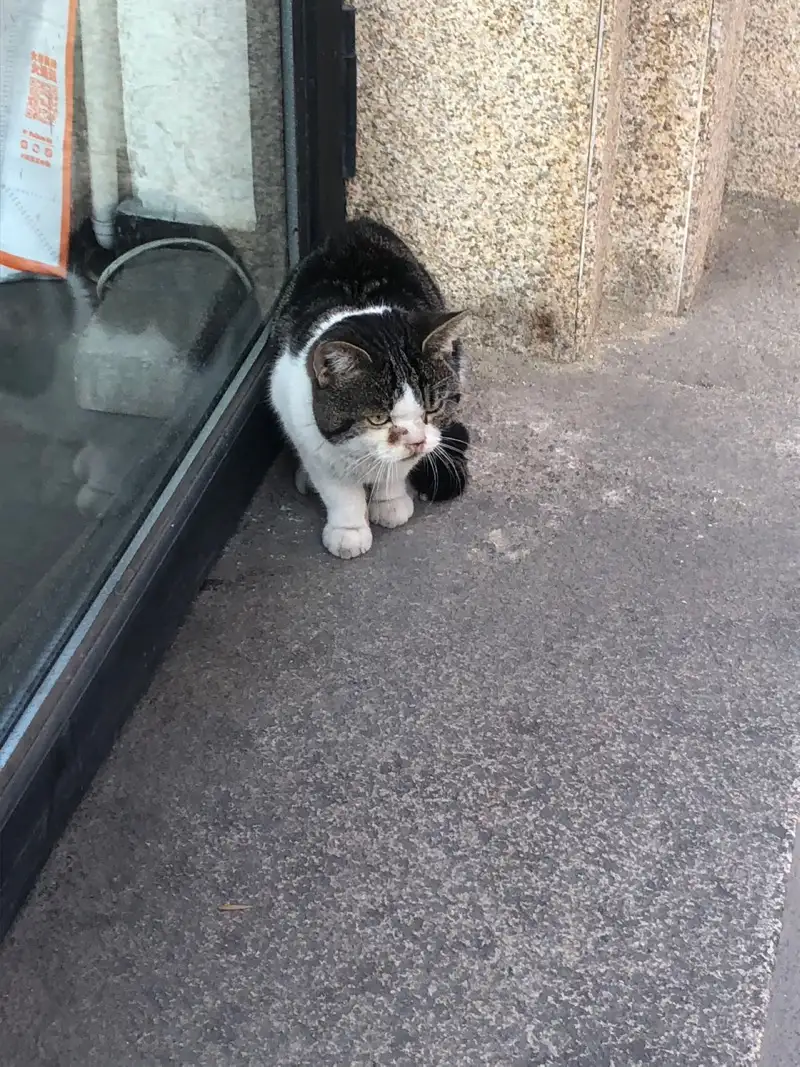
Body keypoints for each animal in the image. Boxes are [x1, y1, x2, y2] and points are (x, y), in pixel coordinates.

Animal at [269, 220, 469, 563]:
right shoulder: (304, 431)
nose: (416, 441)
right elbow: (338, 491)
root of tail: (355, 223)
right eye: (378, 419)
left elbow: (396, 471)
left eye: (433, 408)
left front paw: (388, 501)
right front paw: (348, 530)